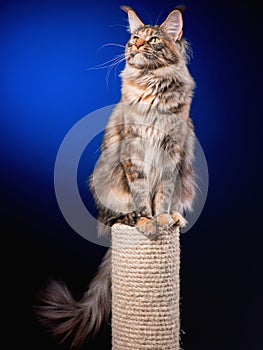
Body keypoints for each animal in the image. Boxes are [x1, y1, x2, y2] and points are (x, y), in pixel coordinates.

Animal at [36, 5, 197, 348]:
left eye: (153, 39)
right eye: (134, 38)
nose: (136, 46)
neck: (152, 84)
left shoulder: (172, 155)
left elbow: (163, 195)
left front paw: (163, 220)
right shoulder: (133, 153)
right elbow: (142, 196)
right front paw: (147, 223)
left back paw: (176, 218)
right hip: (106, 188)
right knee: (115, 218)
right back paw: (131, 221)